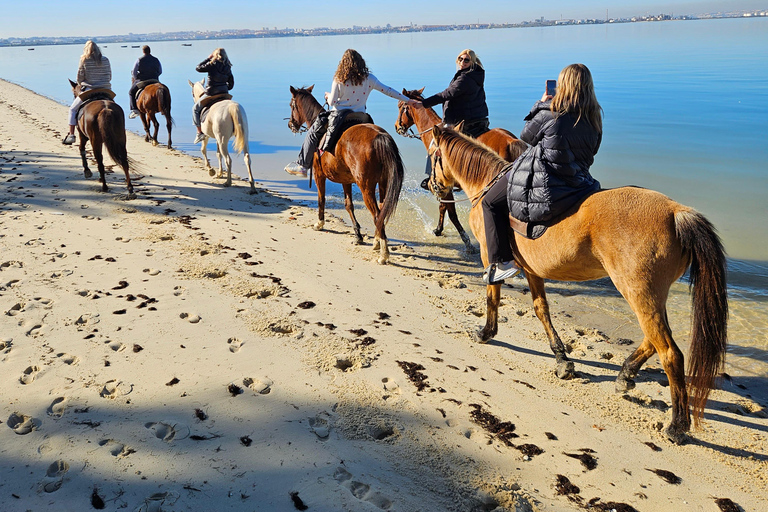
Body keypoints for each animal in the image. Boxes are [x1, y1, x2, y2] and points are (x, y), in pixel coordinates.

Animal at [290, 85, 408, 264]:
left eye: (292, 105)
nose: (291, 124)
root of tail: (381, 137)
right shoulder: (345, 180)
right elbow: (348, 205)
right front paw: (358, 235)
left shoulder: (319, 175)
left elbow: (321, 199)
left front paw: (319, 223)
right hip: (383, 182)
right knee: (381, 211)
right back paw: (377, 242)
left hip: (366, 187)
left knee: (377, 215)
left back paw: (383, 254)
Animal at [396, 89, 528, 255]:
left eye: (400, 106)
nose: (397, 126)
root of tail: (511, 142)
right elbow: (444, 208)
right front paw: (439, 229)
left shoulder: (445, 186)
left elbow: (450, 212)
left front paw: (466, 241)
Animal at [428, 125, 728, 444]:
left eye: (434, 155)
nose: (429, 184)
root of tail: (675, 211)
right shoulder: (533, 271)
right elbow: (541, 310)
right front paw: (562, 359)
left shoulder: (490, 257)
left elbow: (493, 298)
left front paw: (486, 332)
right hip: (650, 295)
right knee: (653, 340)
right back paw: (625, 376)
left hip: (638, 292)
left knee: (670, 353)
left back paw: (677, 424)